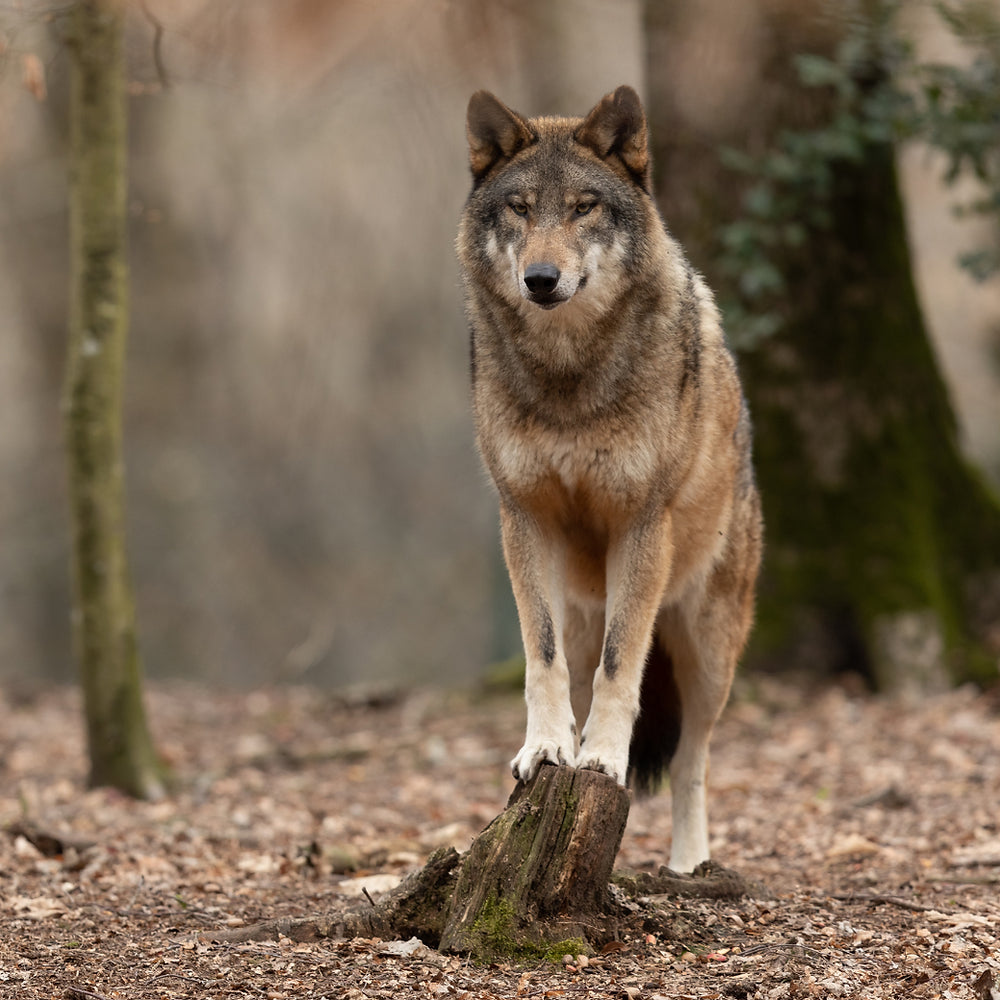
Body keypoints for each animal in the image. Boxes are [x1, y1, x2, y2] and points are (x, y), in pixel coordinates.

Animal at [457, 85, 762, 872]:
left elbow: (622, 671)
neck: (569, 378)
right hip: (585, 609)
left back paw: (688, 866)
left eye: (583, 208)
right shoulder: (523, 518)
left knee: (692, 762)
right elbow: (542, 660)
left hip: (706, 651)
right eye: (520, 208)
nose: (541, 279)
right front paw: (546, 751)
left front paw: (600, 762)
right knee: (579, 668)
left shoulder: (640, 524)